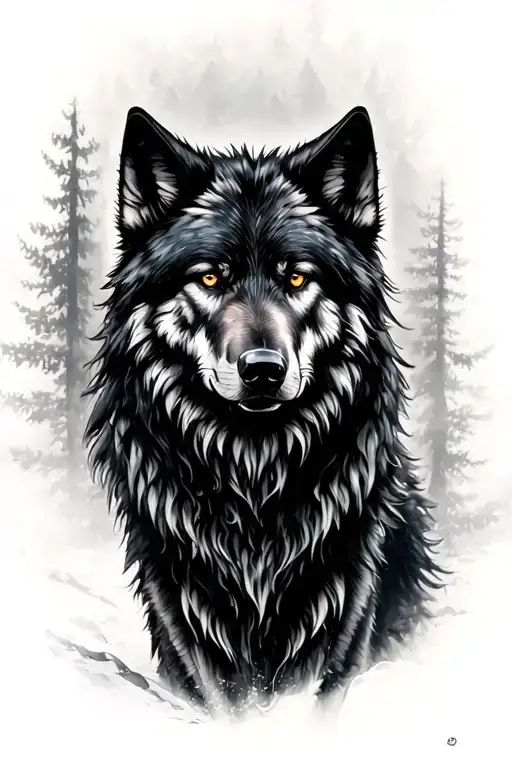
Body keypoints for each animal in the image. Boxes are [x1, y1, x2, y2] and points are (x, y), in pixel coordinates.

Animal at [85, 104, 444, 715]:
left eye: (296, 276)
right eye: (210, 277)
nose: (262, 370)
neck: (254, 481)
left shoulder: (347, 597)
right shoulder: (176, 600)